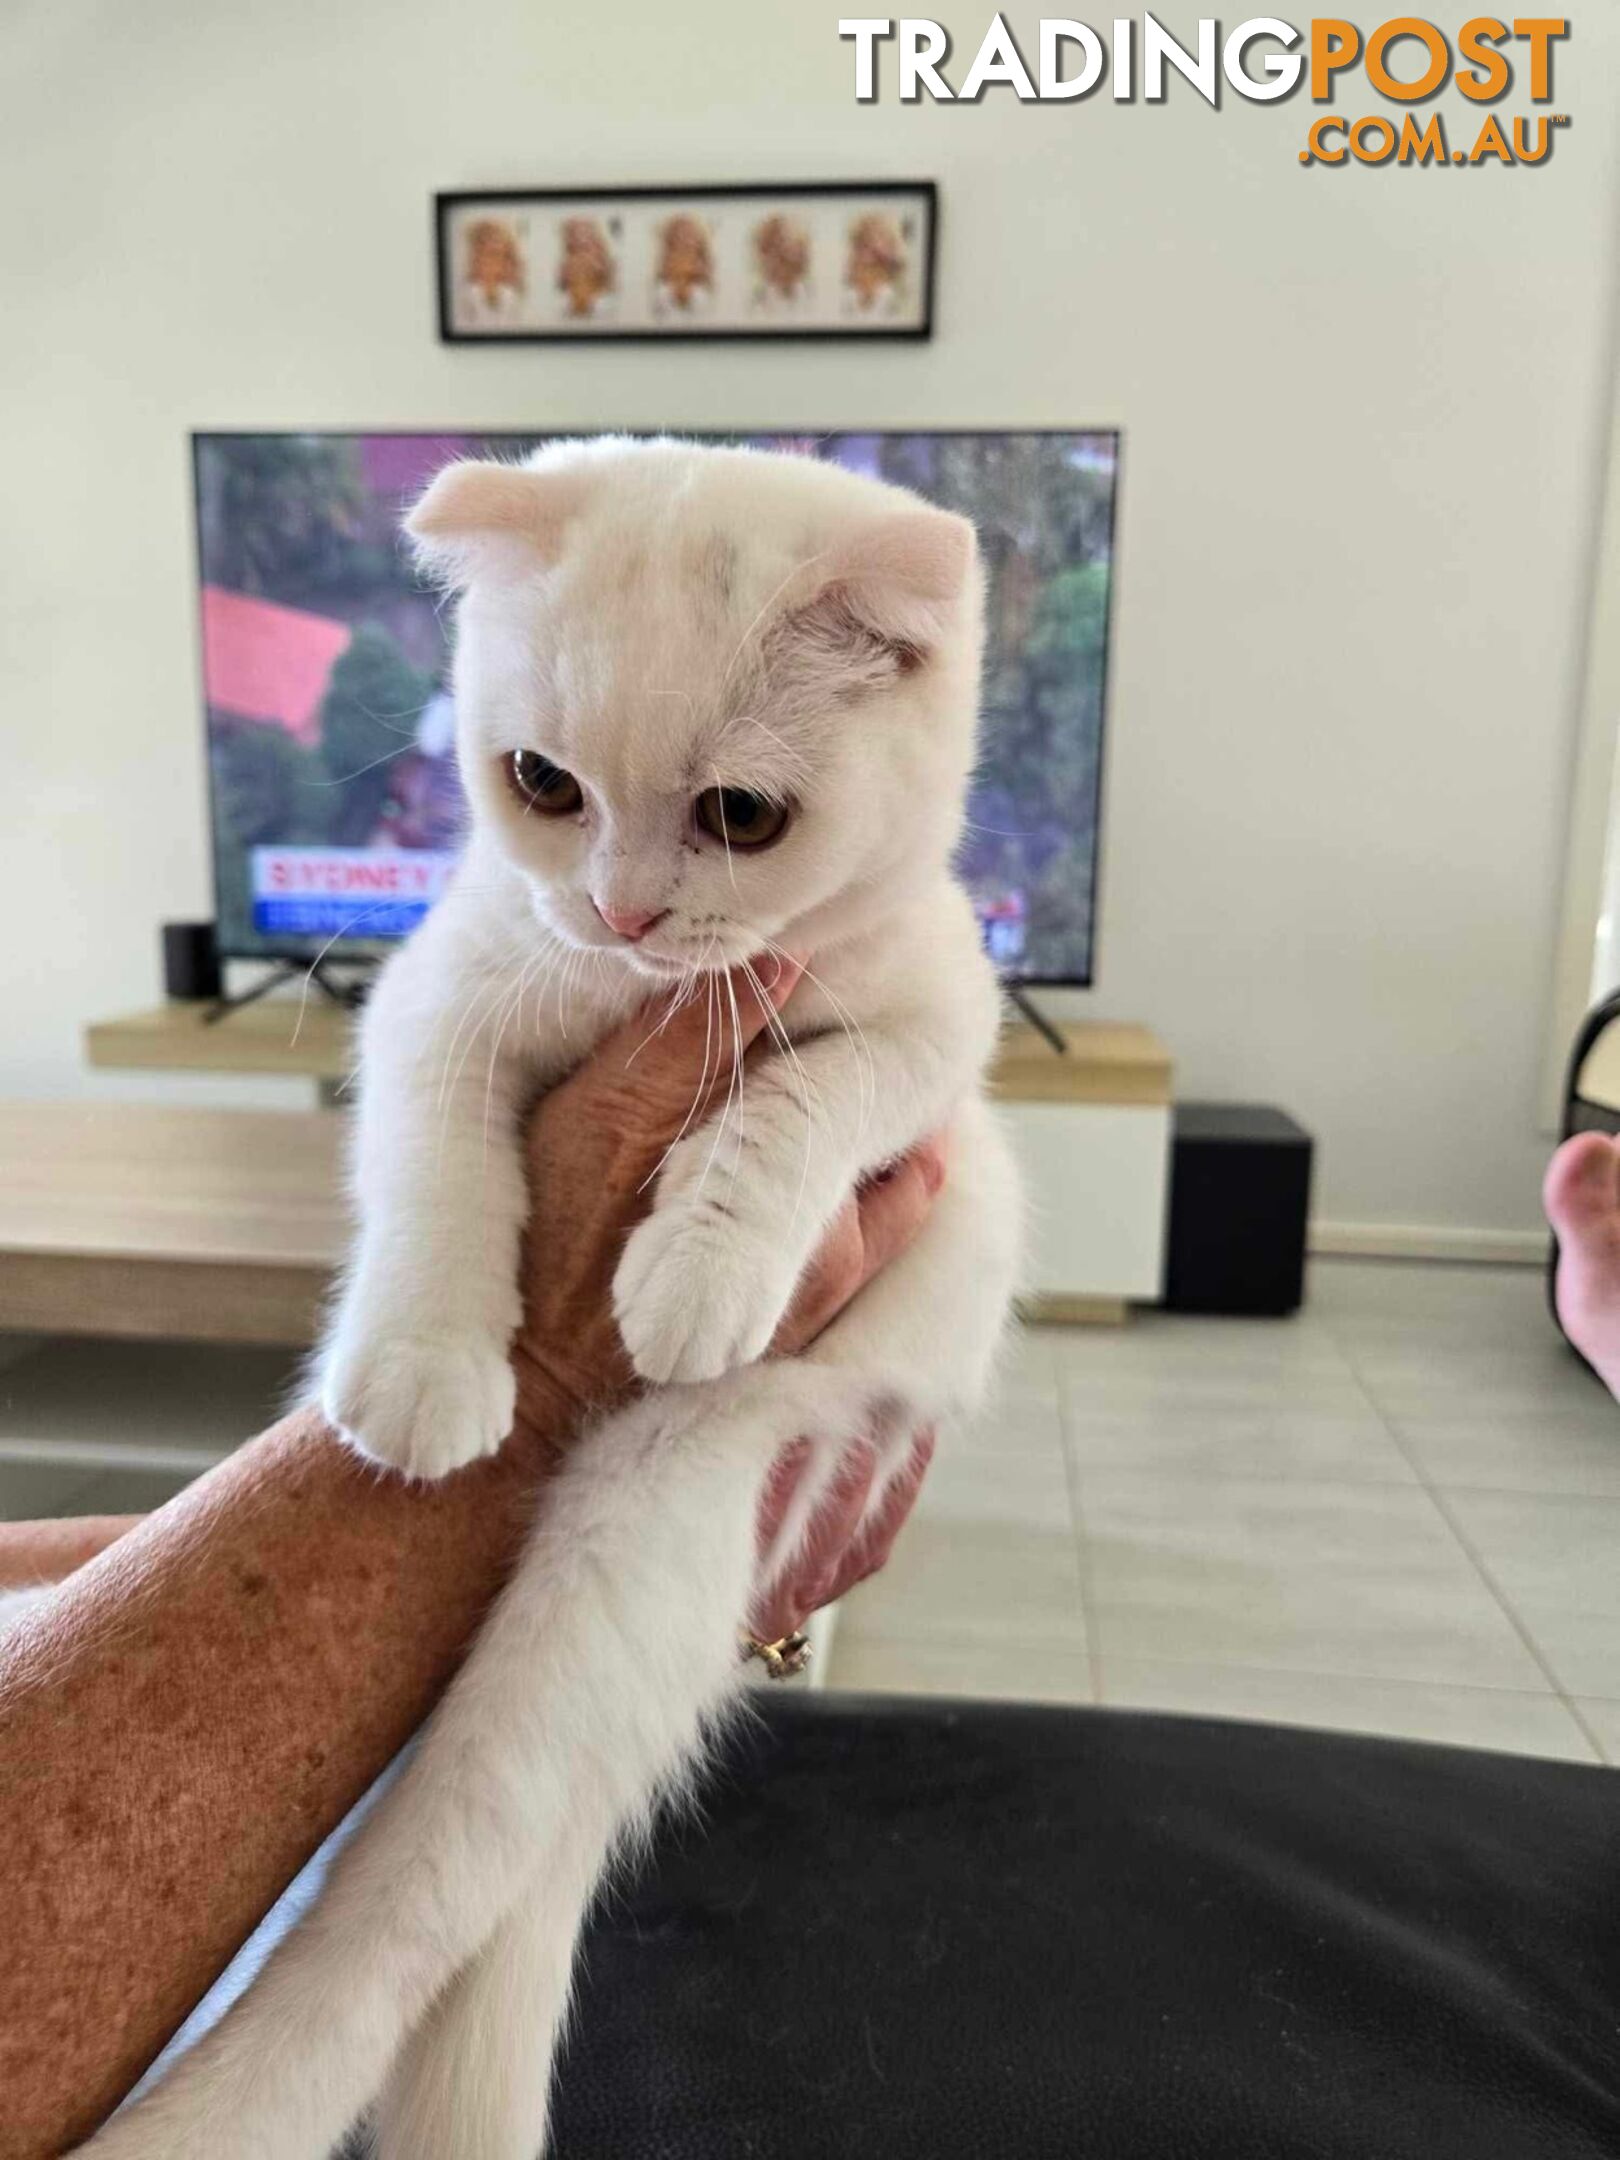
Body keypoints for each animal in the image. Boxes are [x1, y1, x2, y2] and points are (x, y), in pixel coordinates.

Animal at [82, 442, 1019, 2160]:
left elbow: (805, 1098)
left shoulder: (938, 1028)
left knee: (426, 1897)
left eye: (739, 814)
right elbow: (441, 1166)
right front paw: (422, 1362)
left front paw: (701, 1262)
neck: (637, 996)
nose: (620, 913)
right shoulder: (437, 995)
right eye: (541, 784)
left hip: (636, 1533)